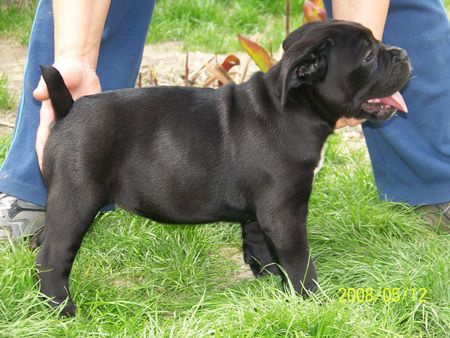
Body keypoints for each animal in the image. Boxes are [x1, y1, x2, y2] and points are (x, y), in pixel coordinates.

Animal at [37, 21, 410, 316]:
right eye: (368, 56)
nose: (402, 53)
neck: (293, 107)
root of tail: (68, 108)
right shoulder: (285, 213)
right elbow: (300, 260)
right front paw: (313, 300)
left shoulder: (262, 214)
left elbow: (260, 246)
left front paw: (271, 283)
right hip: (77, 198)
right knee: (52, 258)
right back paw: (62, 310)